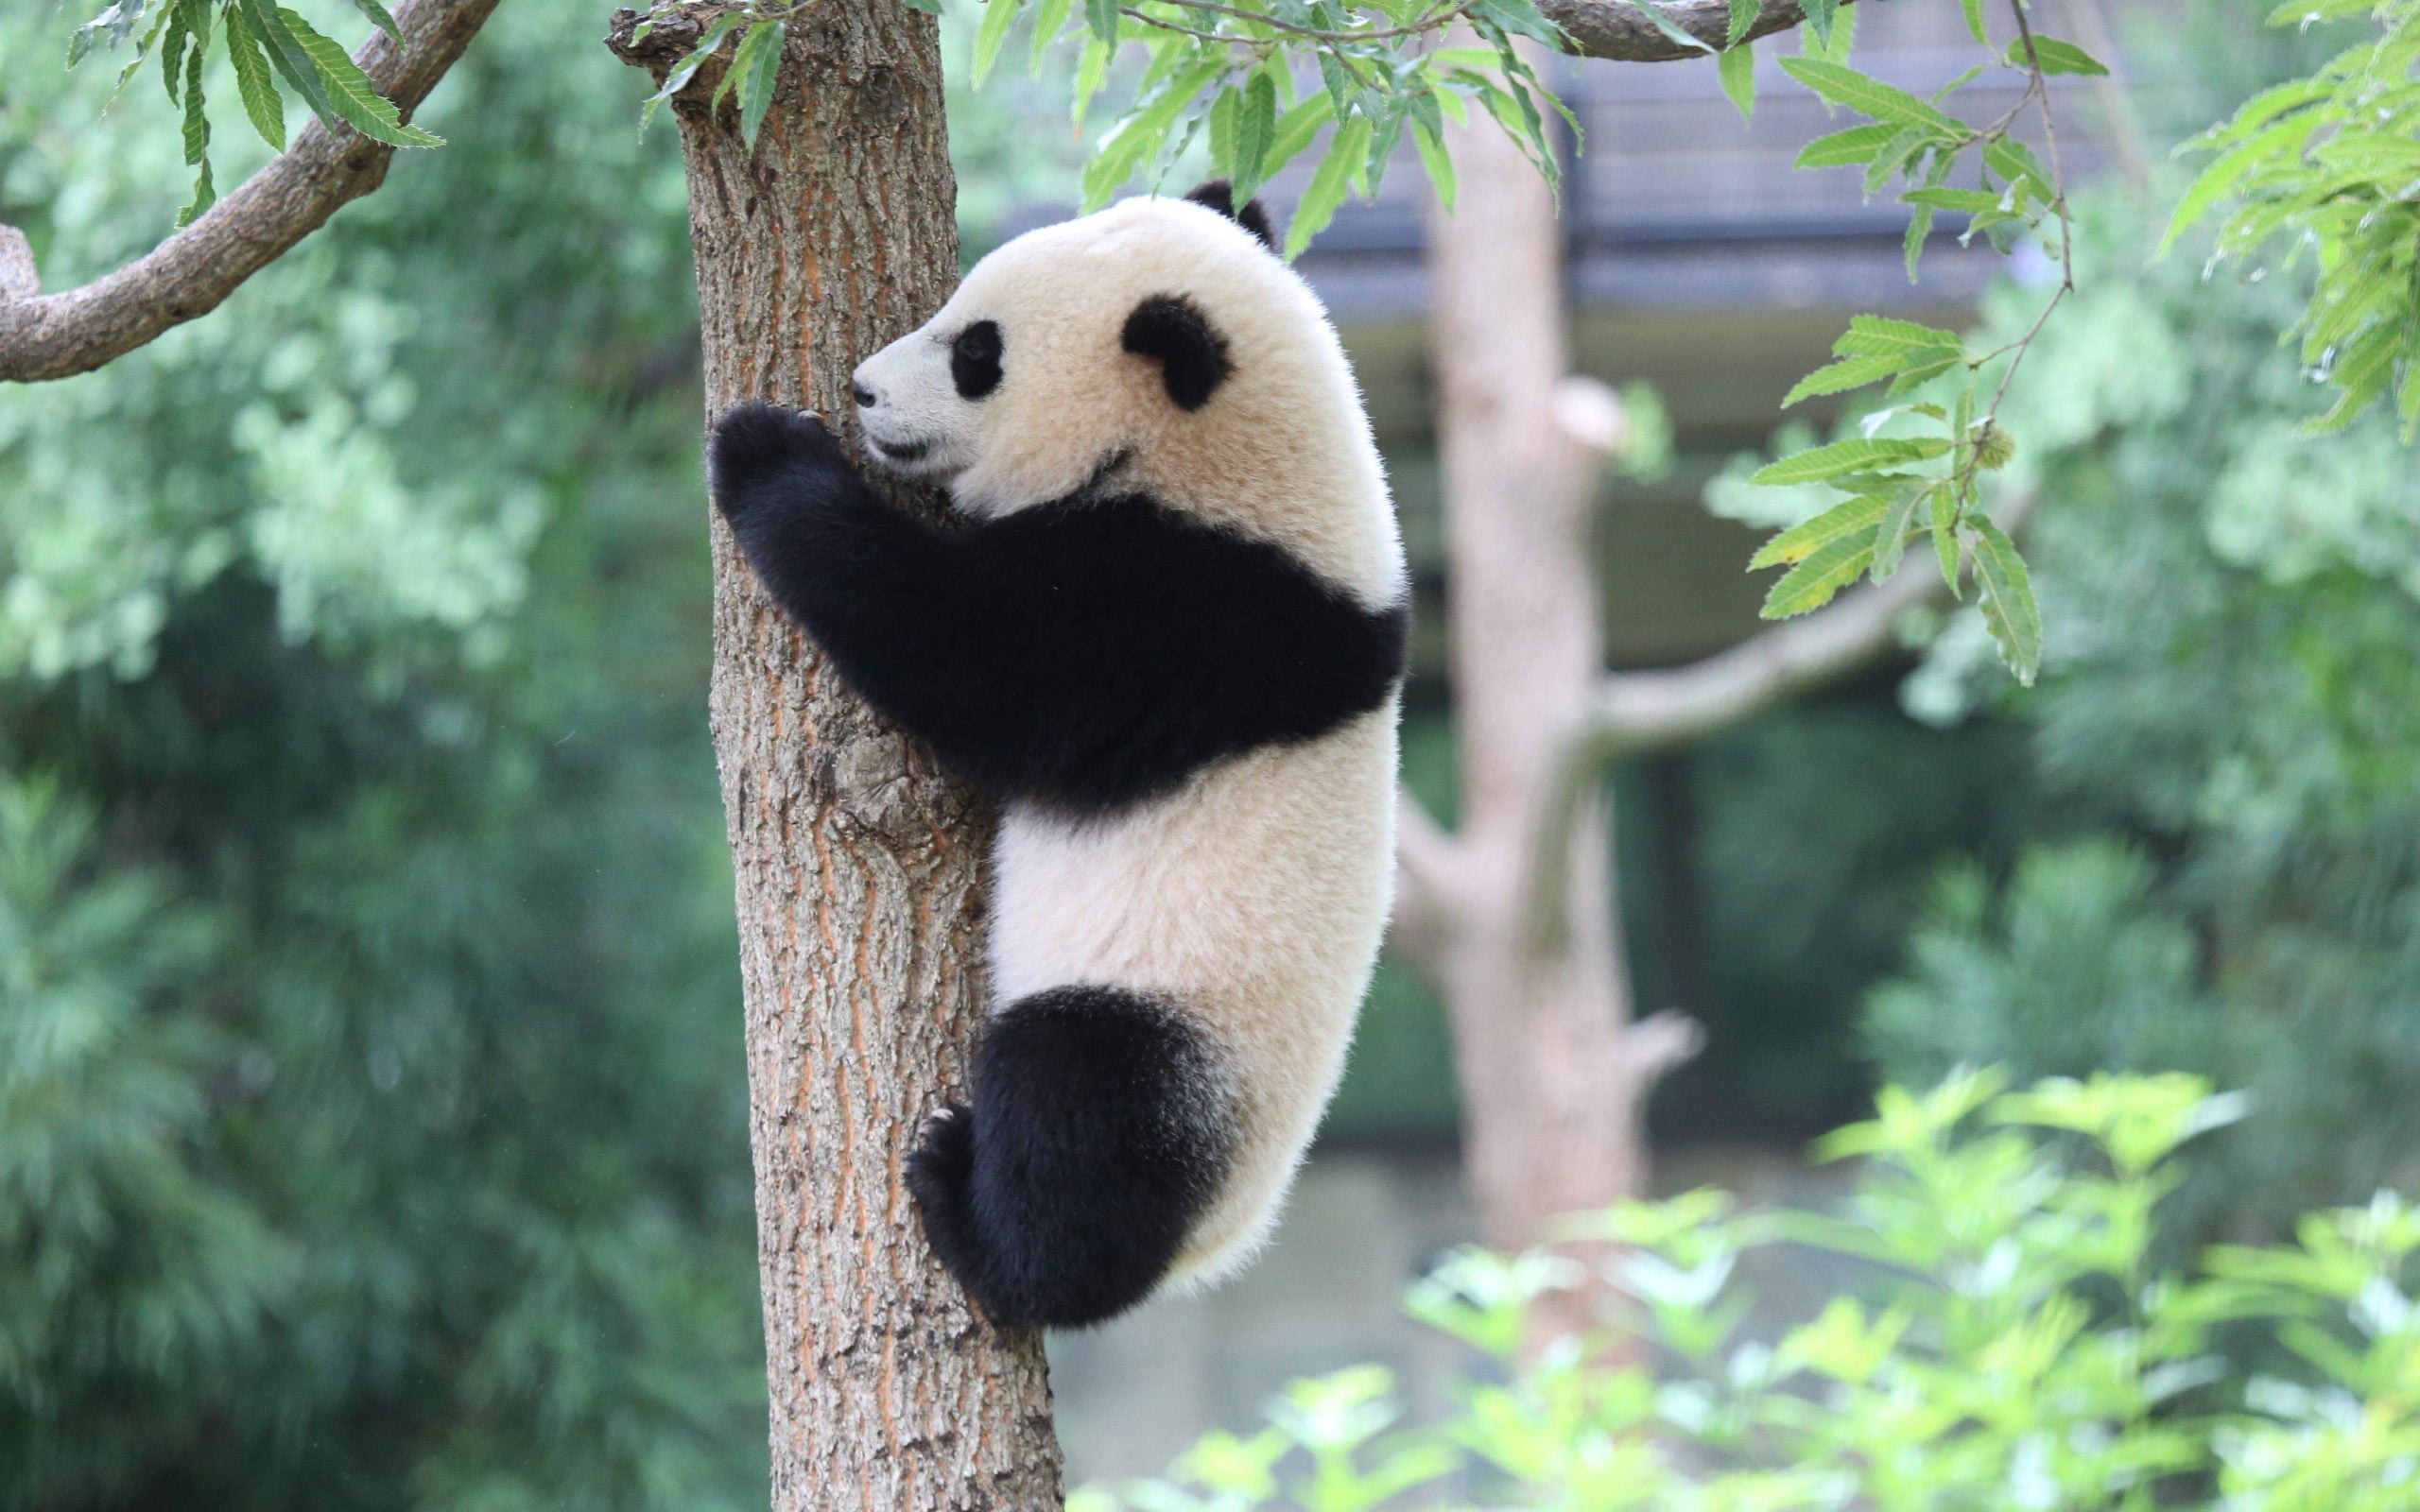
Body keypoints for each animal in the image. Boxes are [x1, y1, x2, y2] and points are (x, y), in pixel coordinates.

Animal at [704, 180, 1408, 1330]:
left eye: (976, 353)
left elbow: (954, 645)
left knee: (1077, 1109)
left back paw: (977, 1214)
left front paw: (762, 451)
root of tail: (1222, 1238)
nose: (860, 390)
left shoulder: (1179, 613)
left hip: (1181, 1030)